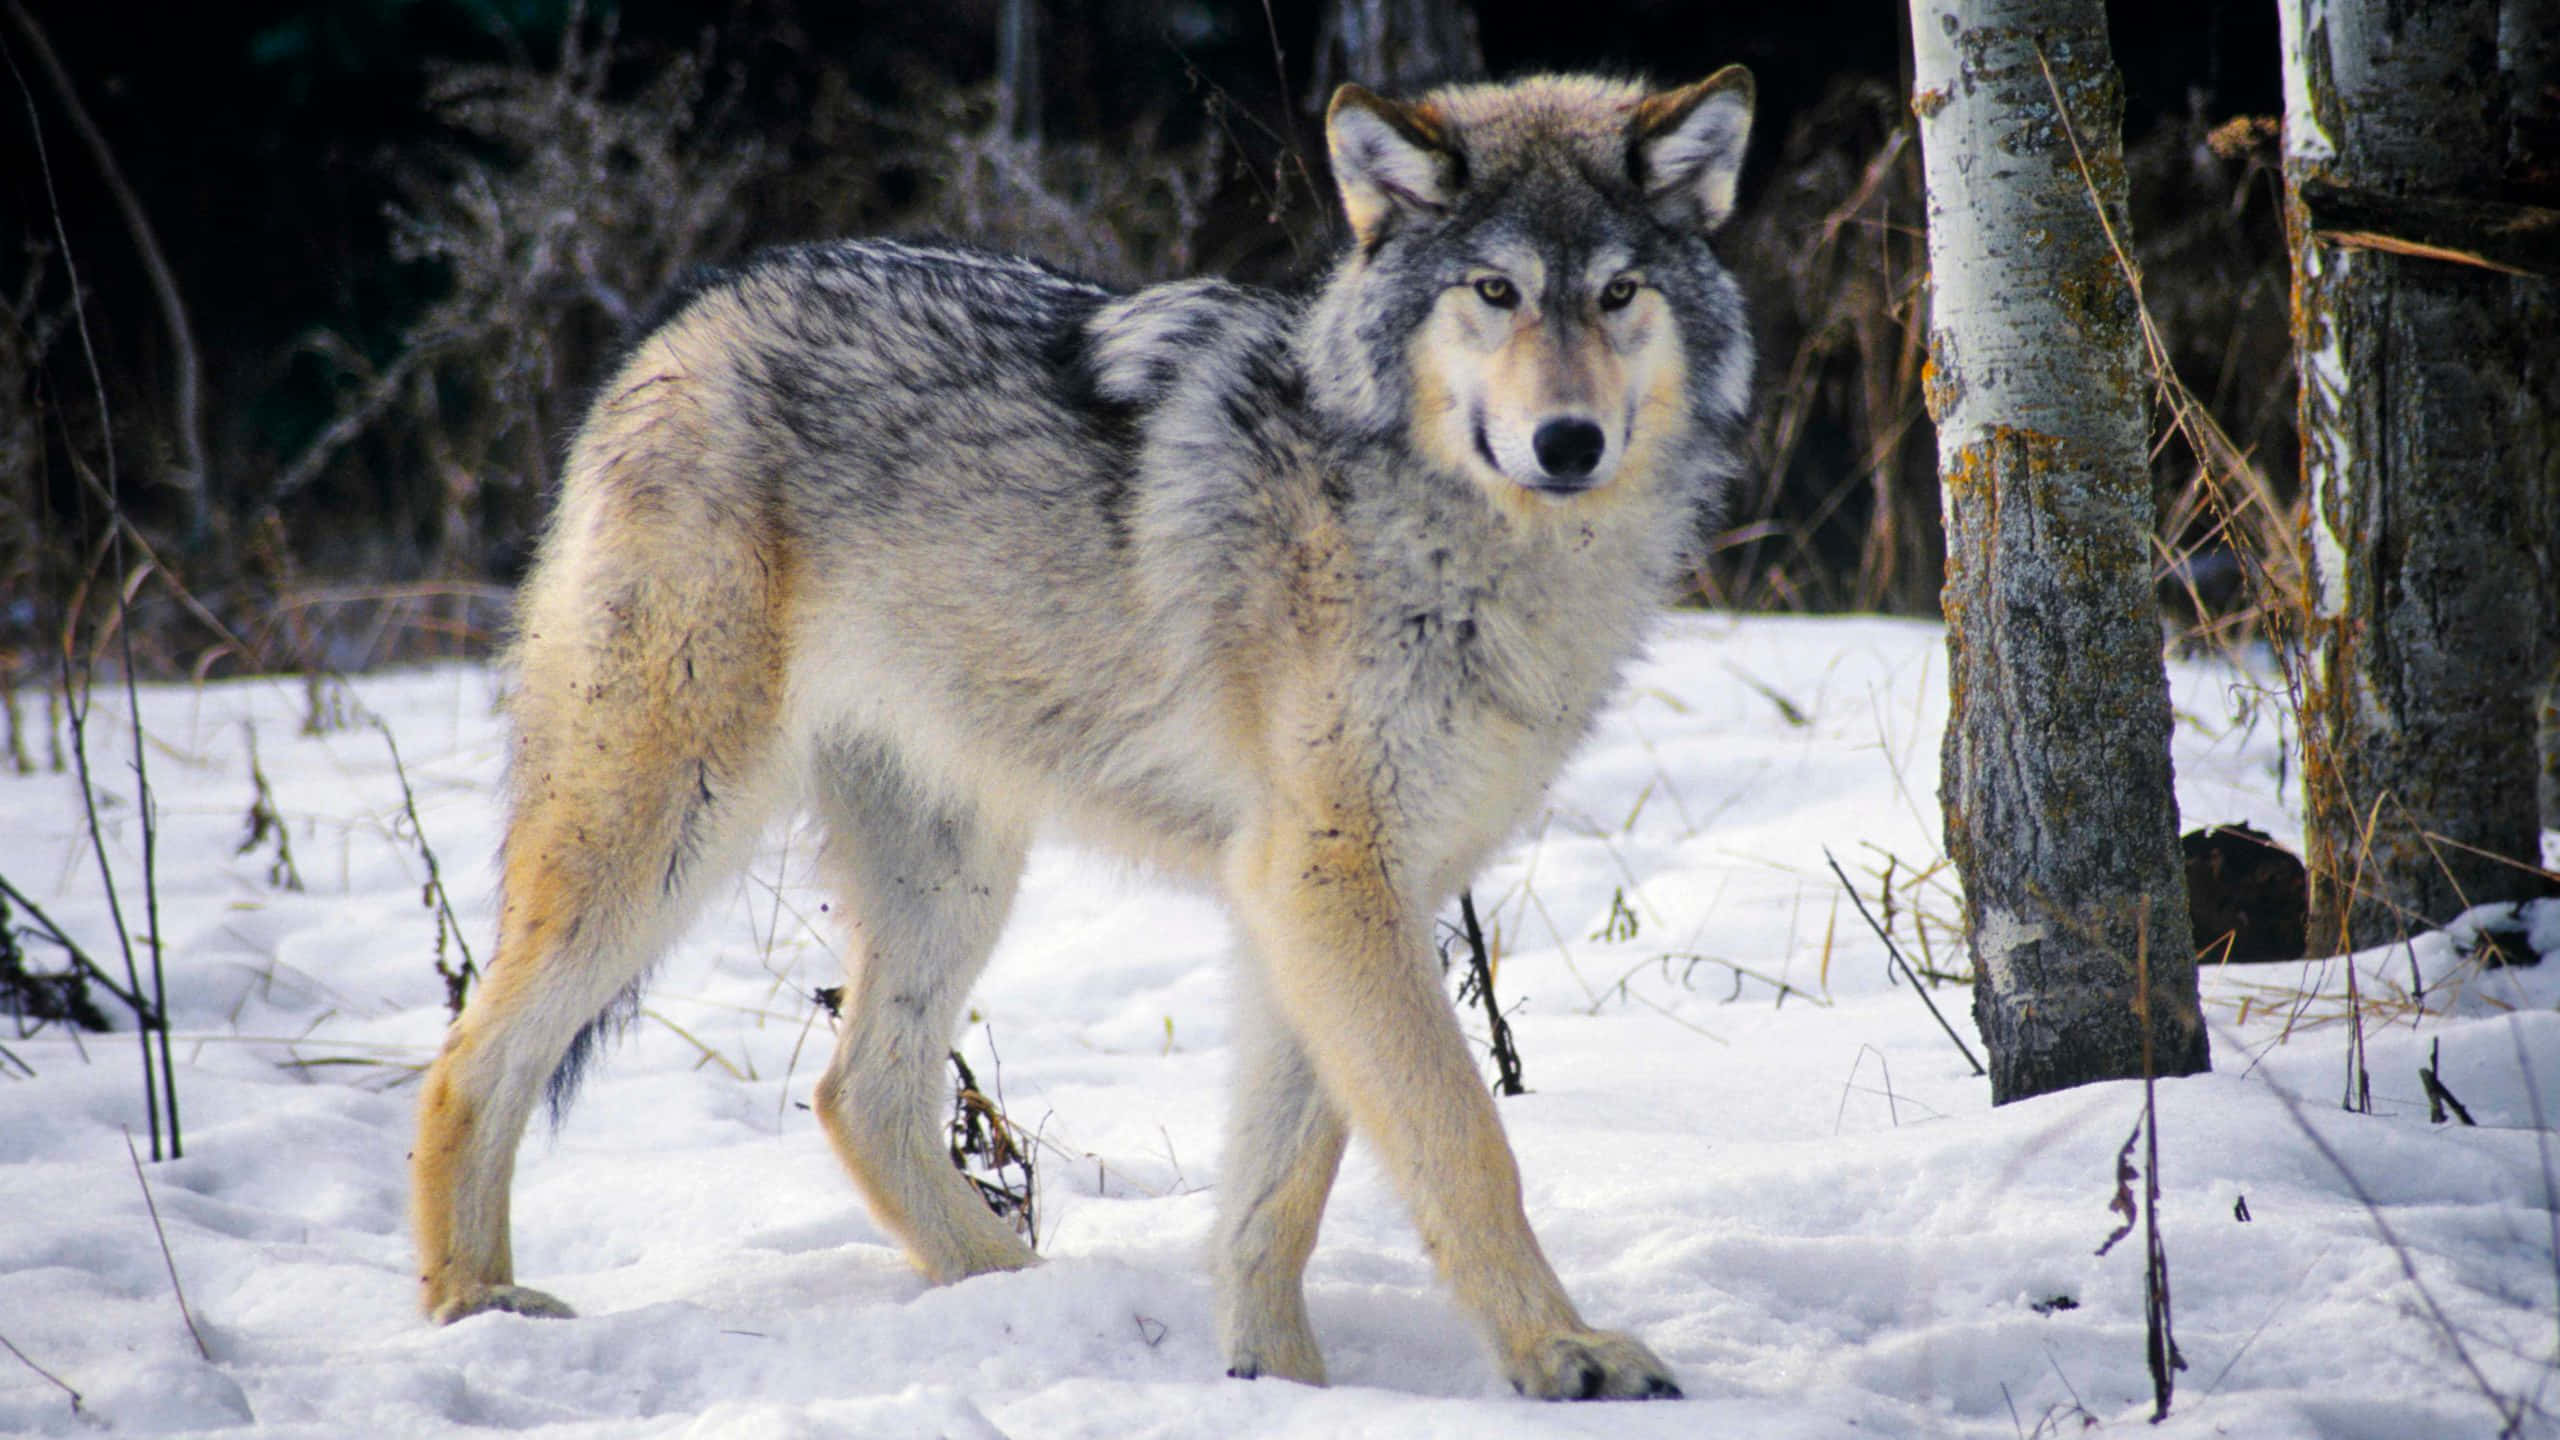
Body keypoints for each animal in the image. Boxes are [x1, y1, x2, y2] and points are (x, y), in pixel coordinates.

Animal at [411, 68, 1755, 1401]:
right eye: (1495, 291)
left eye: (1618, 294)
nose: (1569, 442)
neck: (1468, 544)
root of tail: (689, 315)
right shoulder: (1331, 877)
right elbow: (1462, 1138)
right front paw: (1563, 1355)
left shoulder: (1331, 894)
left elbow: (1283, 1186)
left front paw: (1277, 1381)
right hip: (665, 828)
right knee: (469, 1055)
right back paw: (474, 1306)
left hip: (951, 873)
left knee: (858, 1093)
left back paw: (1016, 1292)